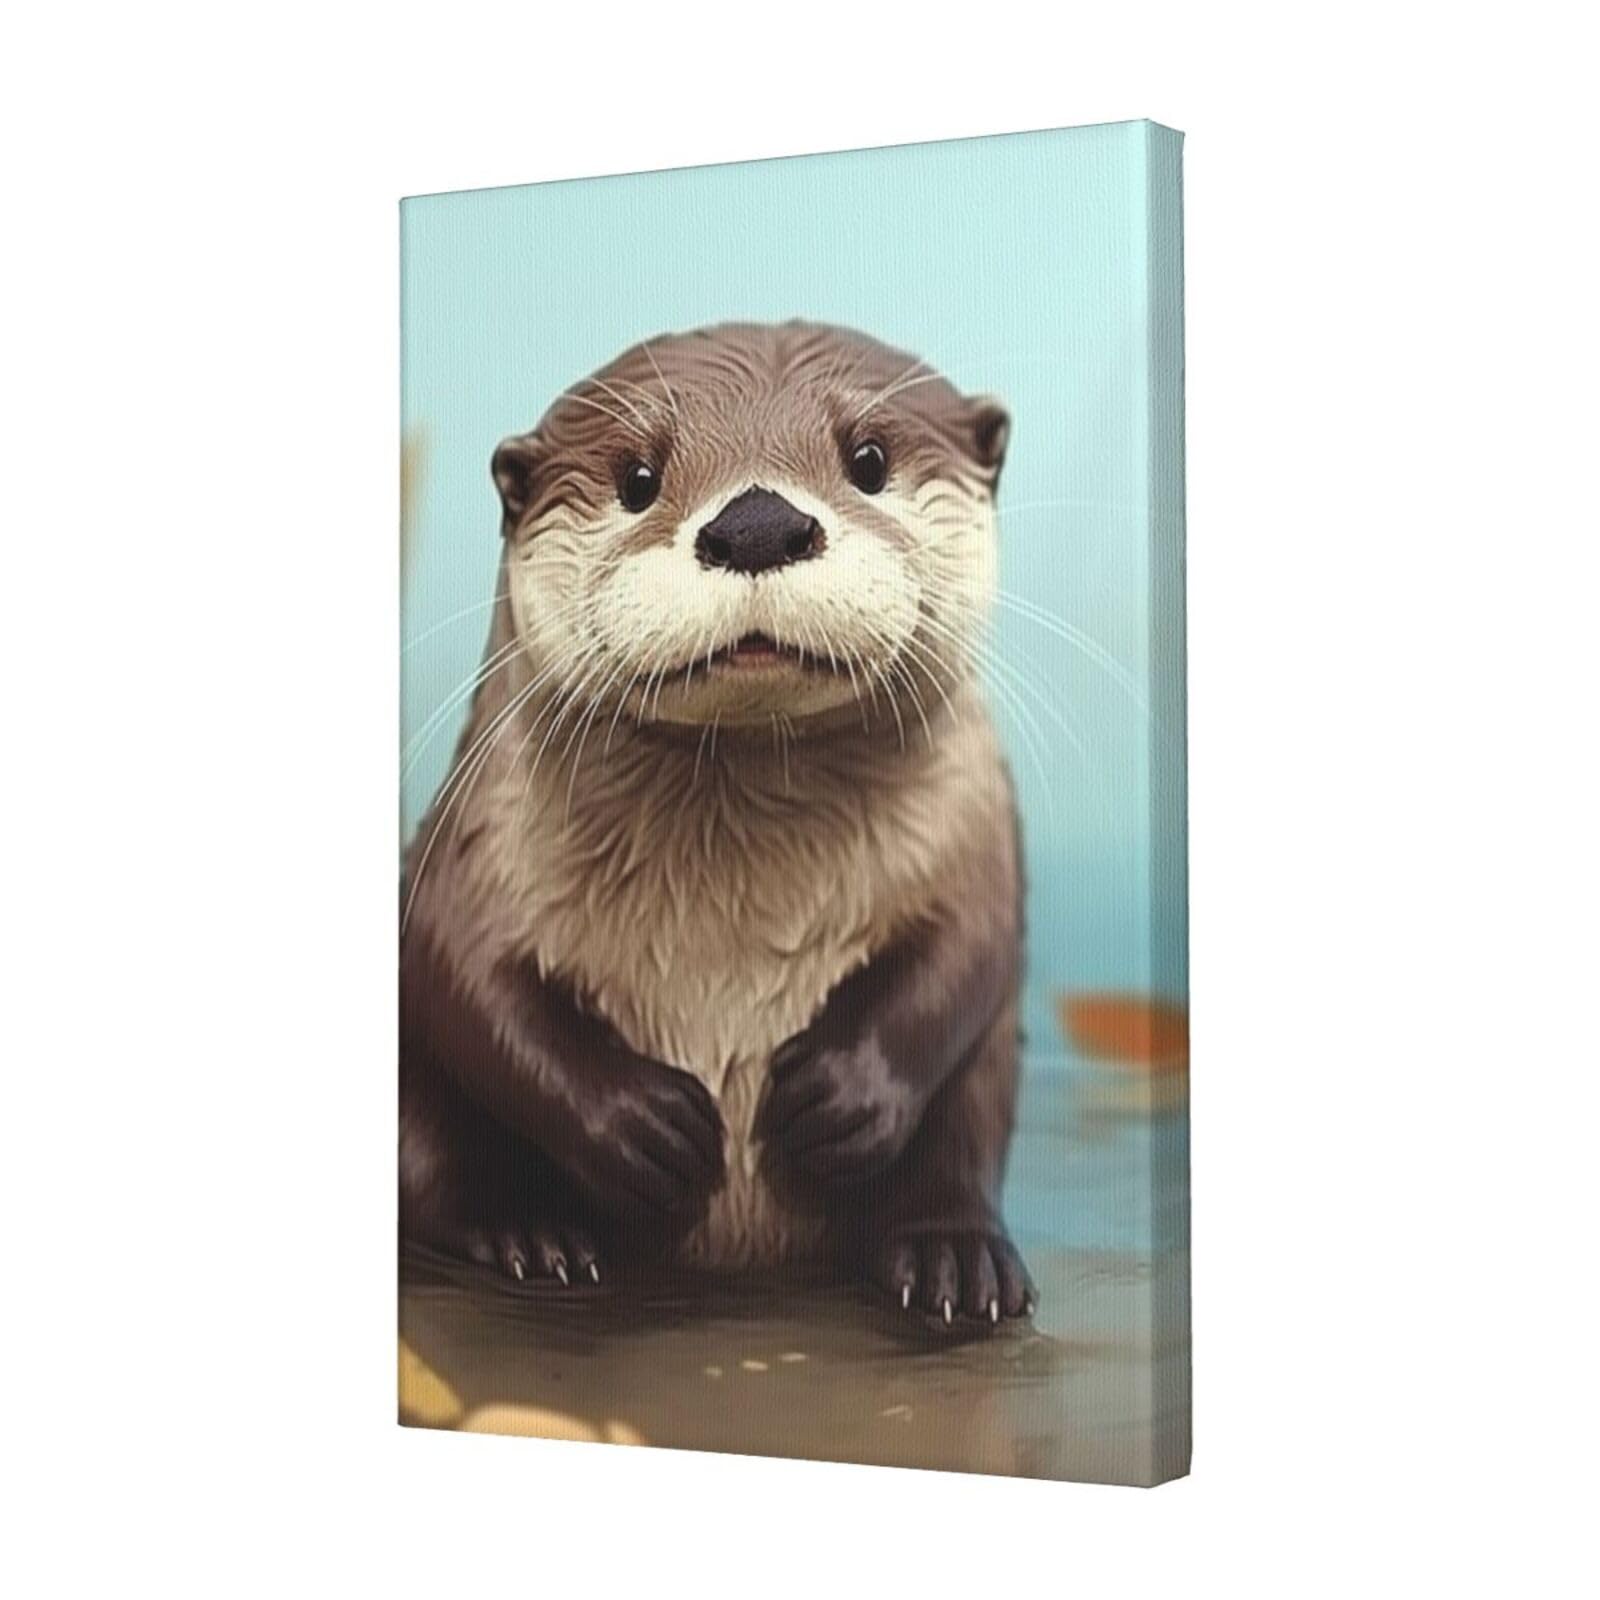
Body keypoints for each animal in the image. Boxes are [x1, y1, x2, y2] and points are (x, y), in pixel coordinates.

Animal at [400, 321, 1033, 1329]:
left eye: (868, 459)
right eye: (637, 478)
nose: (757, 525)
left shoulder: (976, 824)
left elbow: (968, 953)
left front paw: (837, 1093)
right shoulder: (477, 839)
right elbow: (463, 976)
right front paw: (642, 1125)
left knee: (959, 1141)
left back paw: (954, 1257)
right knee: (439, 1171)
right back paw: (531, 1233)